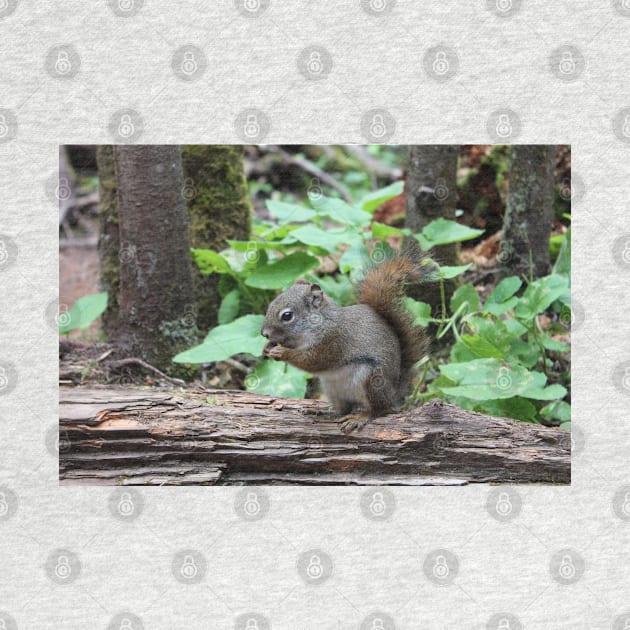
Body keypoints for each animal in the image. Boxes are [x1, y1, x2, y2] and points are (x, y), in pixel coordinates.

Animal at [260, 248, 432, 434]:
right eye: (271, 304)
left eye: (287, 316)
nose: (264, 333)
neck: (318, 323)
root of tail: (394, 394)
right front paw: (267, 347)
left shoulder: (332, 341)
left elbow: (313, 361)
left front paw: (282, 352)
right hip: (332, 387)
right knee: (343, 409)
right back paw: (323, 411)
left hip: (372, 379)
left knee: (379, 410)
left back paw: (360, 417)